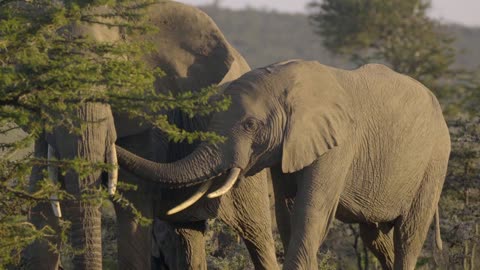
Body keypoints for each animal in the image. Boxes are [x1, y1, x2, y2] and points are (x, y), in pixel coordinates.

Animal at [115, 59, 450, 270]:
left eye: (250, 125)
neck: (289, 82)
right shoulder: (286, 148)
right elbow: (287, 211)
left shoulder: (339, 144)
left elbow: (310, 210)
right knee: (374, 236)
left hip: (435, 161)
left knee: (408, 234)